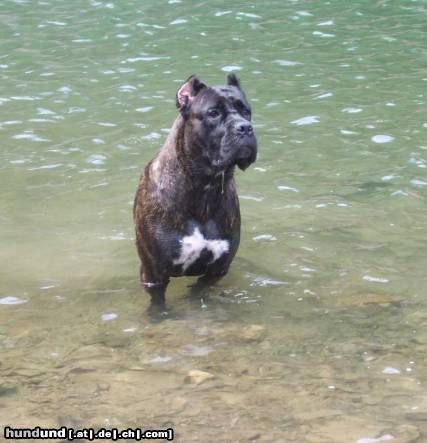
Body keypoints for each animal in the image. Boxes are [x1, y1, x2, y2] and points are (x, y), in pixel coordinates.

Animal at [133, 74, 258, 306]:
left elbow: (199, 290)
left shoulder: (217, 269)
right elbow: (158, 303)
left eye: (246, 111)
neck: (204, 186)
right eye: (213, 113)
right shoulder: (154, 274)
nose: (245, 127)